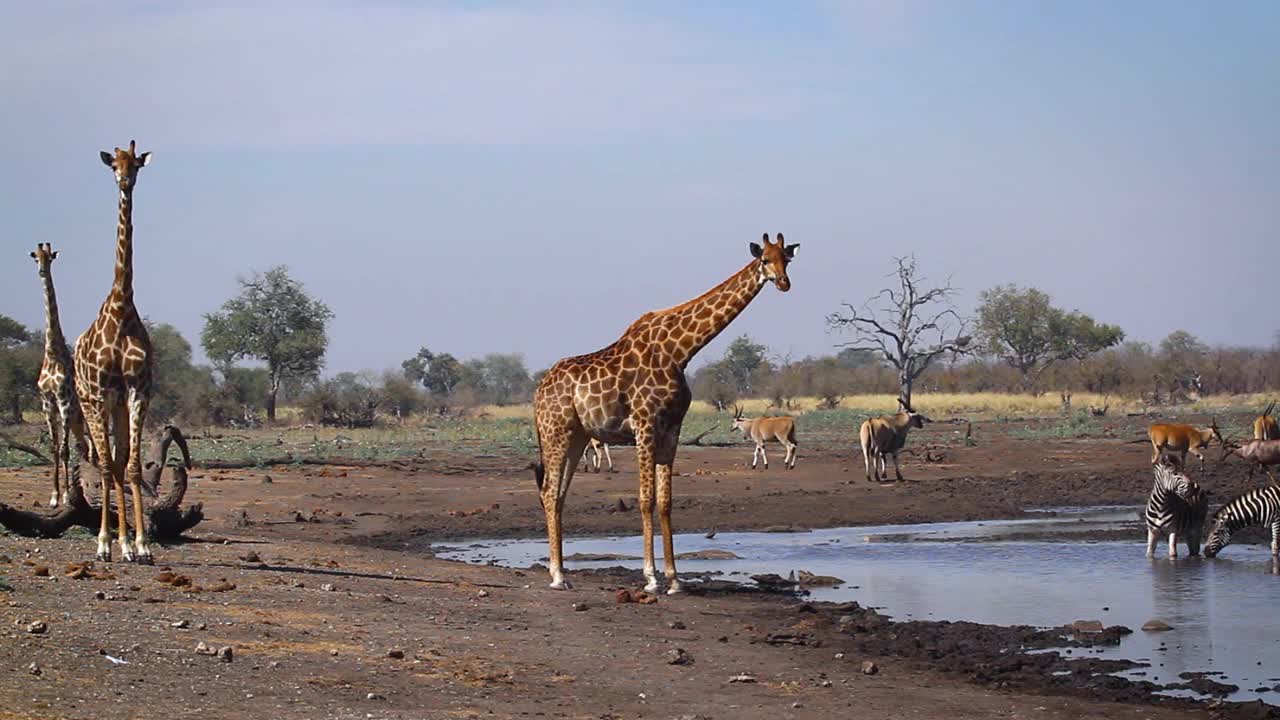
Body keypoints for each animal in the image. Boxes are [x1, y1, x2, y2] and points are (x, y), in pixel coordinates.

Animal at [527, 233, 788, 591]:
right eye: (764, 259)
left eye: (787, 259)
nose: (784, 283)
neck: (680, 352)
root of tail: (539, 390)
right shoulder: (644, 424)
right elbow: (645, 498)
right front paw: (651, 578)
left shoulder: (671, 428)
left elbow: (665, 502)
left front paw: (675, 580)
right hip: (556, 431)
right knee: (549, 492)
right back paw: (557, 576)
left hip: (578, 436)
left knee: (558, 494)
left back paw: (562, 570)